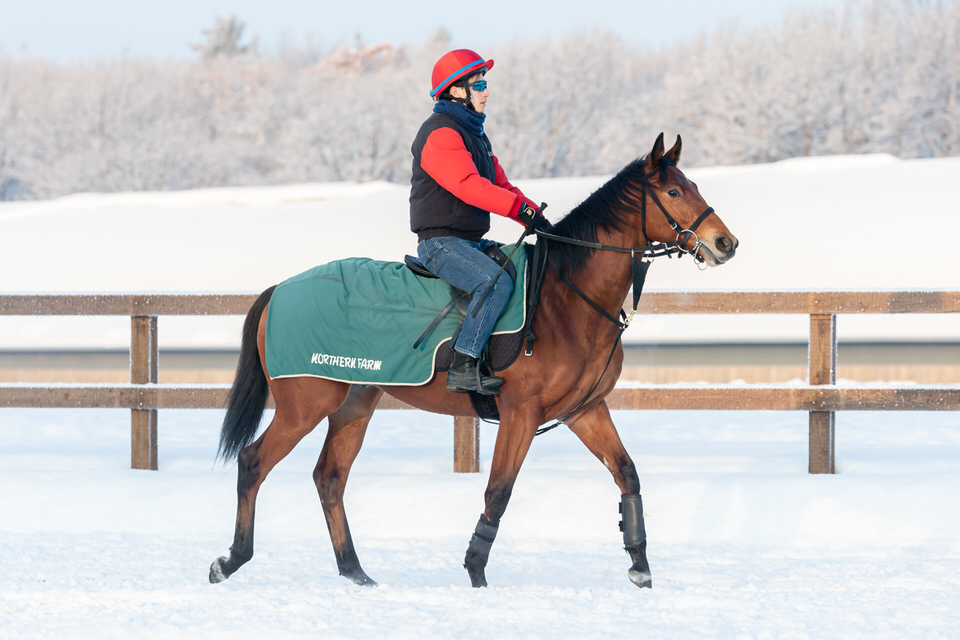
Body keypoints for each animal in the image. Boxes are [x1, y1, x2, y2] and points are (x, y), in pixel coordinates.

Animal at [208, 134, 736, 592]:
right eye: (673, 190)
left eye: (693, 186)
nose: (726, 243)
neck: (565, 298)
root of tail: (280, 289)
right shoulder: (521, 414)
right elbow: (498, 491)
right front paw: (475, 568)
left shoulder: (585, 410)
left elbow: (627, 473)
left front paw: (640, 566)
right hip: (306, 404)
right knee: (253, 463)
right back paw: (231, 559)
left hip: (354, 403)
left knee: (330, 478)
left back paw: (354, 571)